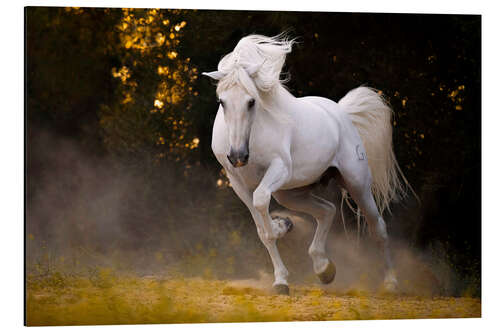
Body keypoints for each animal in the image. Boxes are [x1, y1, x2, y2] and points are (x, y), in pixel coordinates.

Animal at [203, 33, 410, 294]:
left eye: (251, 101)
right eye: (222, 102)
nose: (238, 156)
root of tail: (340, 112)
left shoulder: (279, 168)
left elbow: (261, 205)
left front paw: (281, 230)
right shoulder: (238, 183)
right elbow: (262, 231)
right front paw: (281, 274)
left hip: (357, 184)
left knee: (378, 227)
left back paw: (390, 283)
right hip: (290, 194)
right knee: (327, 211)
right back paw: (324, 269)